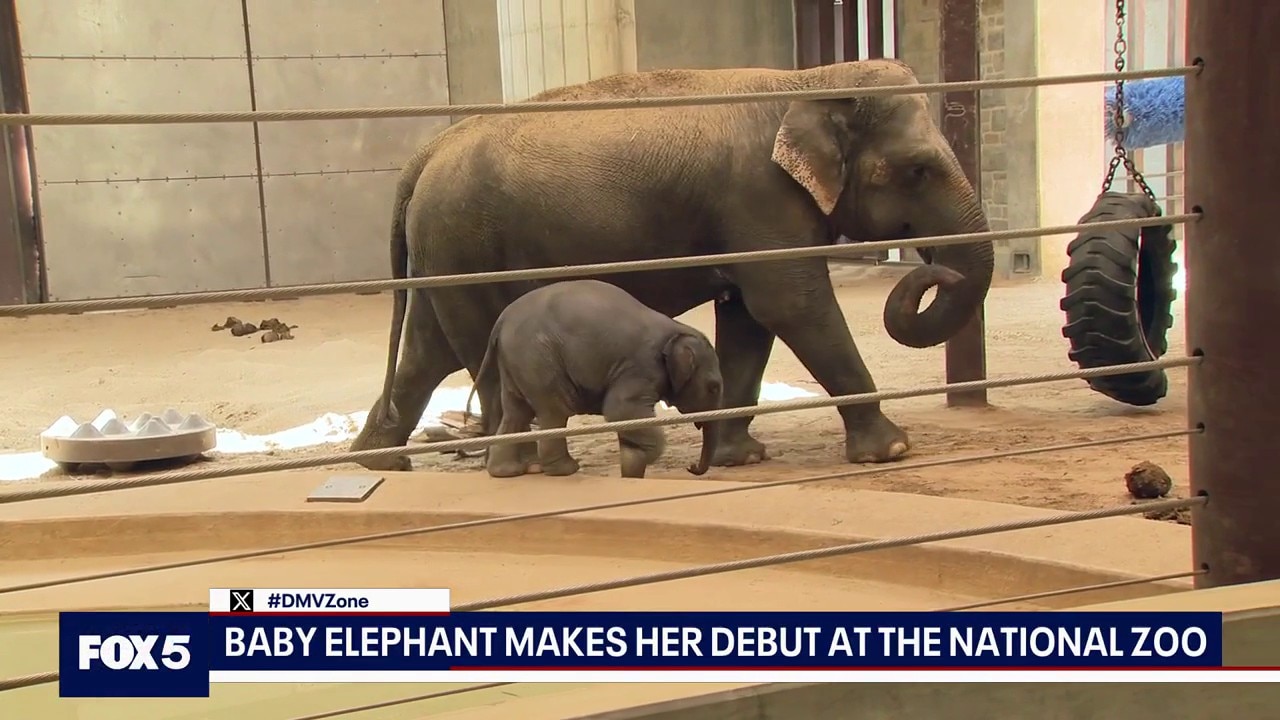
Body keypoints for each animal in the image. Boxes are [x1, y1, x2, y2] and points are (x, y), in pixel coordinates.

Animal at [469, 279, 723, 479]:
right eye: (713, 387)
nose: (691, 467)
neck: (676, 328)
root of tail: (501, 322)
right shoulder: (641, 366)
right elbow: (619, 411)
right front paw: (638, 458)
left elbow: (624, 419)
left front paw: (631, 465)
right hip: (537, 359)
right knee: (555, 411)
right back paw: (565, 470)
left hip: (516, 363)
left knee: (516, 411)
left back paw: (506, 472)